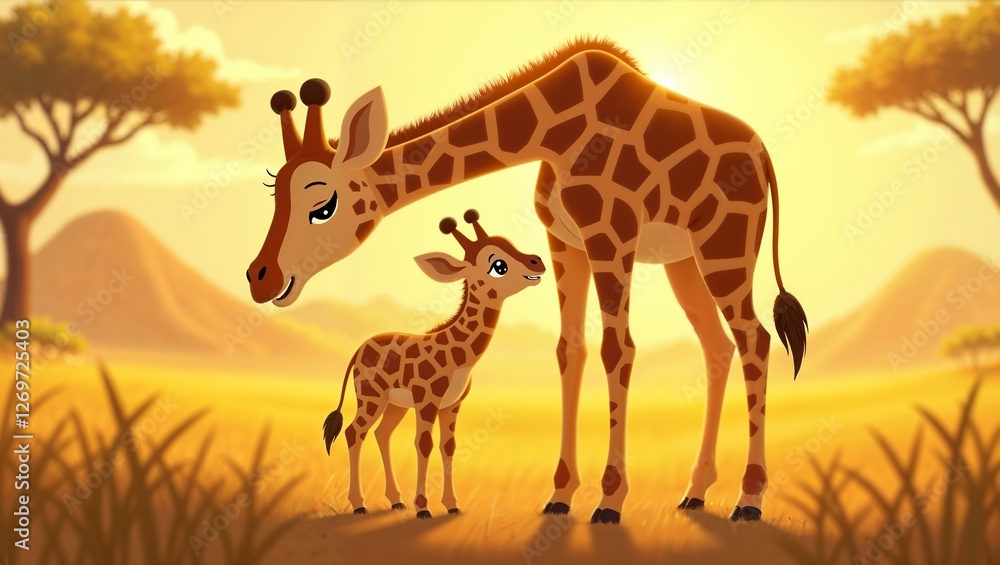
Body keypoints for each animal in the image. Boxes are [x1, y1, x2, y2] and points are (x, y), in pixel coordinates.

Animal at [321, 209, 545, 518]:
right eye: (498, 265)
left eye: (511, 244)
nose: (538, 262)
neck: (461, 359)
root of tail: (358, 350)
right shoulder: (427, 400)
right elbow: (423, 444)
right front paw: (424, 508)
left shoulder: (452, 404)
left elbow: (448, 446)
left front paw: (452, 505)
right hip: (371, 396)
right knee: (355, 432)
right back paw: (359, 505)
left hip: (394, 404)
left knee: (382, 434)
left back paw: (396, 500)